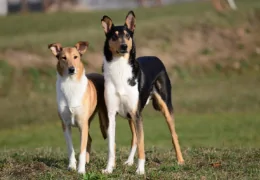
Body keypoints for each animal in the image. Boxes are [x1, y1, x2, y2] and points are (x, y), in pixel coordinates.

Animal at [48, 41, 108, 174]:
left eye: (76, 57)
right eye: (63, 58)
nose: (71, 69)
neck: (70, 84)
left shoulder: (82, 124)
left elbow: (81, 149)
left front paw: (81, 170)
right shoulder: (65, 125)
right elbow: (70, 148)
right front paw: (71, 166)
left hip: (103, 121)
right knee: (89, 140)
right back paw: (87, 161)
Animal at [100, 10, 184, 174]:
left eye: (128, 35)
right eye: (114, 36)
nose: (124, 46)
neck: (119, 69)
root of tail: (155, 57)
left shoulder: (137, 114)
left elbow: (142, 145)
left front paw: (140, 170)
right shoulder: (112, 115)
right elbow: (111, 146)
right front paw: (109, 168)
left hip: (164, 106)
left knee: (173, 134)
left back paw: (180, 160)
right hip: (131, 115)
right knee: (134, 138)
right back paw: (129, 161)